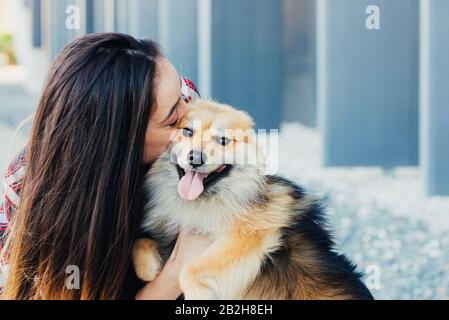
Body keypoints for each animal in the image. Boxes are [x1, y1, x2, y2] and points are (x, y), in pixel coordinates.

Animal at [131, 100, 372, 300]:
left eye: (223, 140)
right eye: (187, 131)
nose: (195, 157)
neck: (206, 200)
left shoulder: (250, 235)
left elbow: (189, 269)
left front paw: (199, 294)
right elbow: (139, 244)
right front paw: (150, 269)